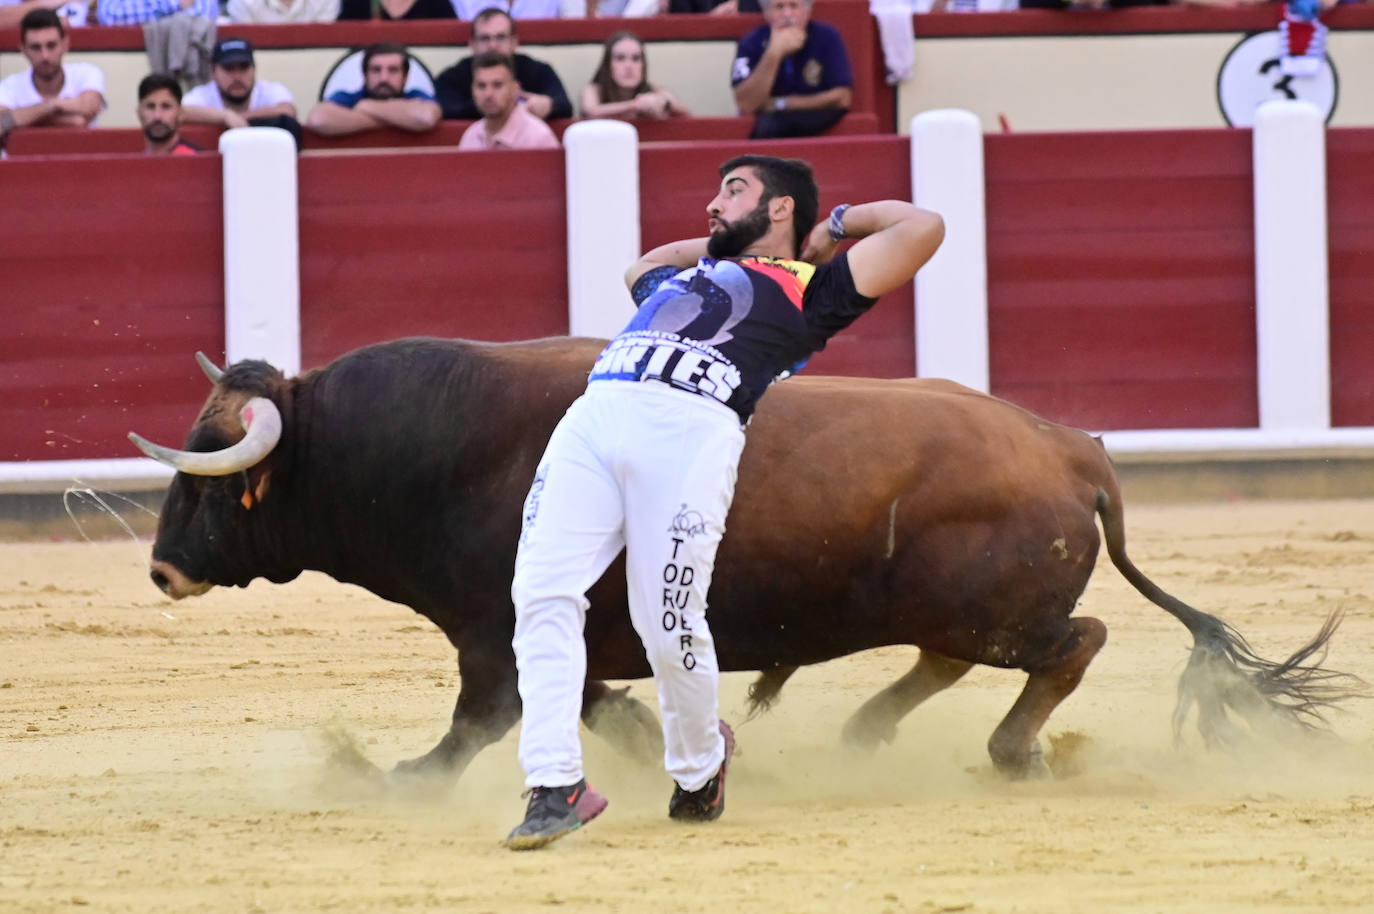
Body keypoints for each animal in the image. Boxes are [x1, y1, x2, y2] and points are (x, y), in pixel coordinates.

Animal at [131, 338, 1363, 780]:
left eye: (211, 474)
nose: (161, 570)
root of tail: (1069, 443)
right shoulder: (567, 638)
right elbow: (595, 705)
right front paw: (668, 748)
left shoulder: (498, 633)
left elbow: (478, 723)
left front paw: (392, 778)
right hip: (947, 603)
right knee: (953, 658)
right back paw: (866, 733)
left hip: (991, 606)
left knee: (1071, 642)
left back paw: (1013, 752)